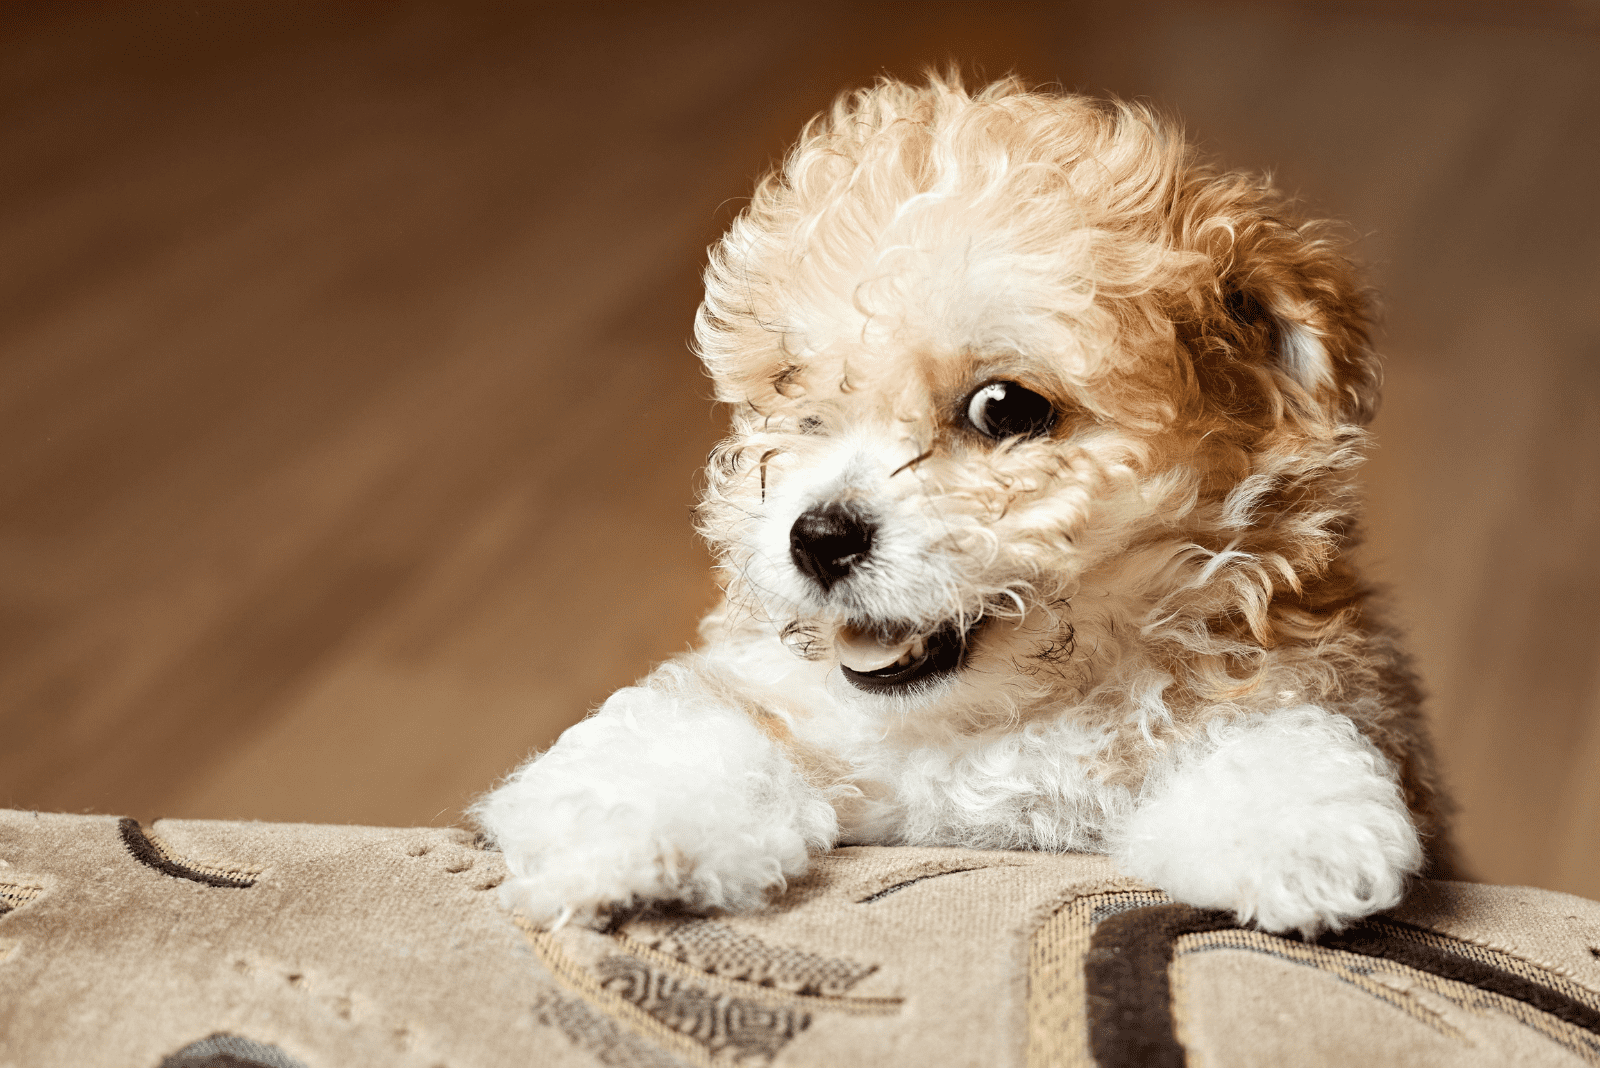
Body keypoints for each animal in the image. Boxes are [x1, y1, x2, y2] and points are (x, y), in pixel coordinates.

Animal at [470, 73, 1452, 933]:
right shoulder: (794, 703)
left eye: (1004, 408)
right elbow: (705, 722)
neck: (996, 721)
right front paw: (614, 826)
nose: (816, 538)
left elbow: (1271, 720)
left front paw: (1293, 830)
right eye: (795, 395)